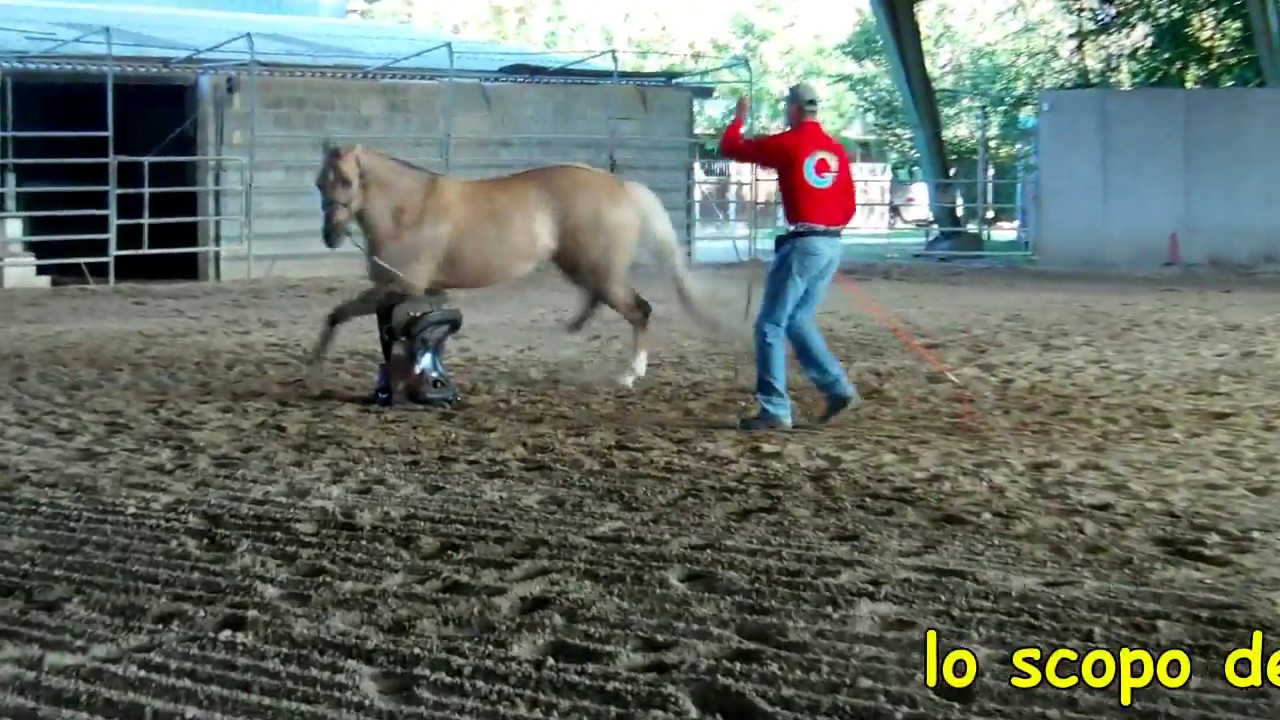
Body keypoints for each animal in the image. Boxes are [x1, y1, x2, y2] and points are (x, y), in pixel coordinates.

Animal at [305, 142, 721, 391]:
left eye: (347, 181)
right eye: (319, 183)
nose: (331, 236)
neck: (410, 210)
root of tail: (620, 186)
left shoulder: (399, 287)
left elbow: (337, 315)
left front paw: (313, 366)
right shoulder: (417, 292)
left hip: (597, 270)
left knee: (638, 310)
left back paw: (629, 374)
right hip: (583, 267)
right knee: (599, 302)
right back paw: (571, 331)